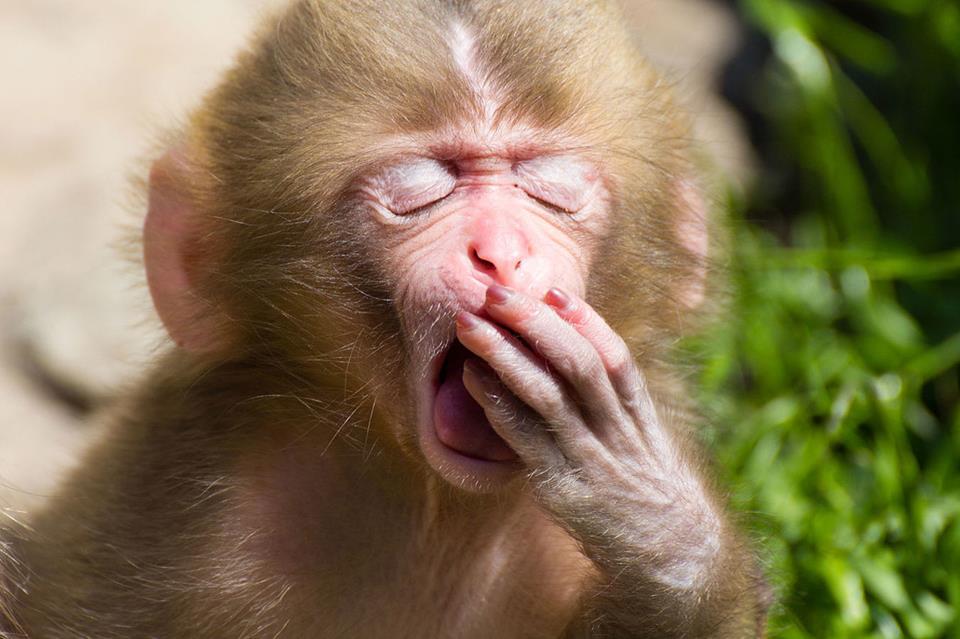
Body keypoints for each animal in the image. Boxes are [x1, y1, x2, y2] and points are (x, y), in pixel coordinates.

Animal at [0, 0, 771, 637]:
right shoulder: (187, 509)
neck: (437, 508)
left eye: (548, 188)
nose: (500, 252)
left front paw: (653, 520)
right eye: (419, 192)